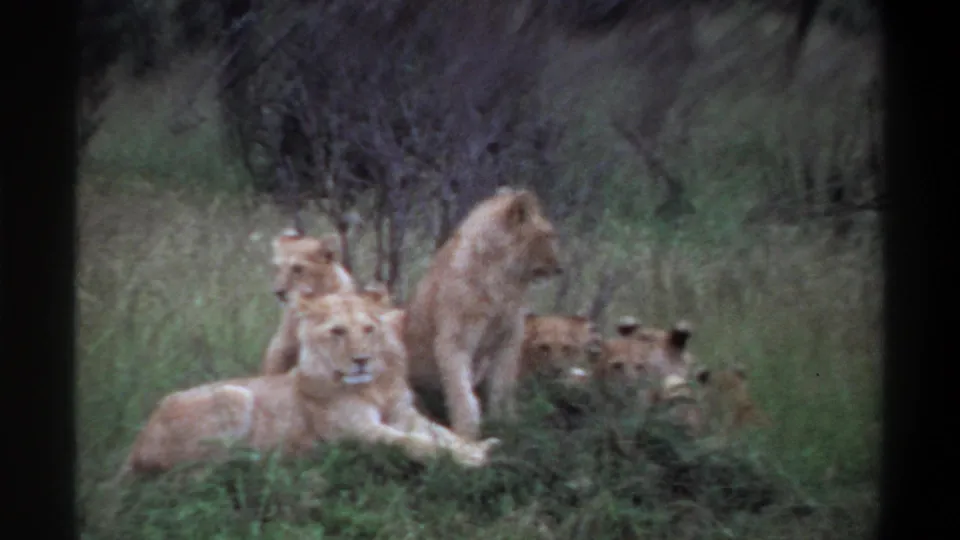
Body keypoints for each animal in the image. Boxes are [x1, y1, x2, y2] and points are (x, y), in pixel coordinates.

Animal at [117, 291, 501, 479]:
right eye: (337, 331)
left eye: (369, 329)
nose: (361, 359)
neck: (373, 386)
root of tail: (135, 447)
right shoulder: (357, 431)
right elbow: (413, 443)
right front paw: (472, 459)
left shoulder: (404, 414)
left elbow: (441, 433)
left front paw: (479, 445)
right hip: (233, 394)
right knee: (202, 468)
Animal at [403, 188, 563, 440]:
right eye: (547, 235)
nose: (560, 268)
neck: (504, 282)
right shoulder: (455, 339)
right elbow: (461, 390)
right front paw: (467, 432)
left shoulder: (510, 337)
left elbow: (502, 385)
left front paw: (506, 422)